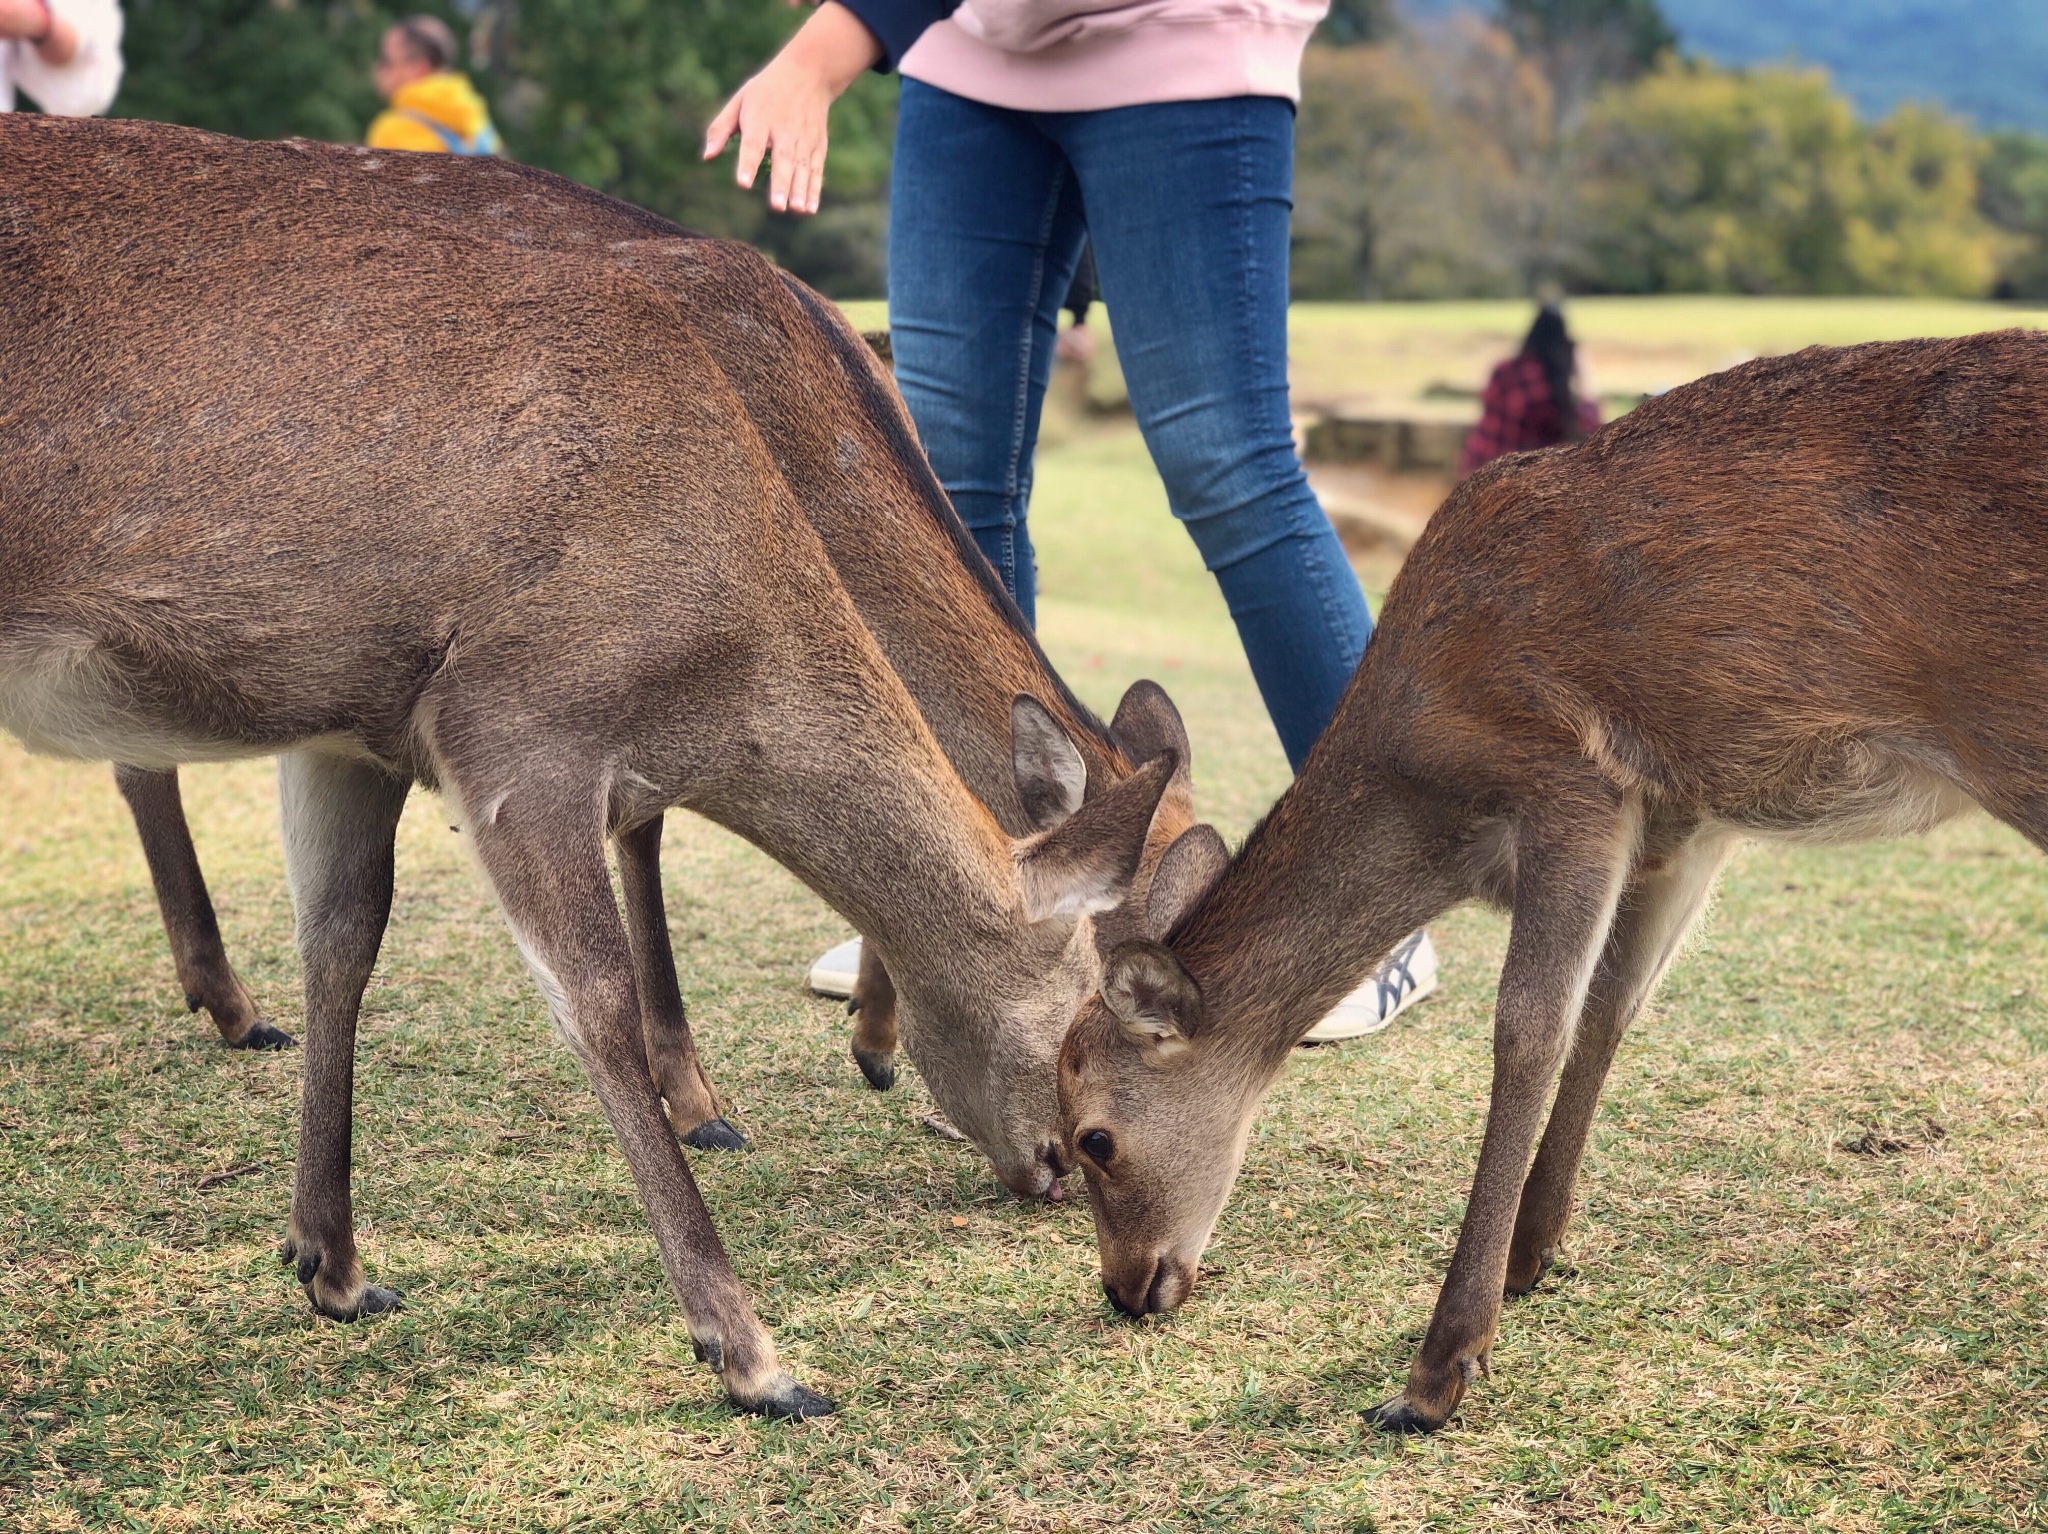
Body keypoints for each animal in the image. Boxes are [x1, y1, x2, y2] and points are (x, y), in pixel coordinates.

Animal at [4, 116, 1187, 1409]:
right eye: (1093, 1018)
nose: (1061, 1170)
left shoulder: (352, 724)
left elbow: (342, 940)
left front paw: (330, 1258)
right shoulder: (516, 726)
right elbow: (594, 994)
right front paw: (749, 1343)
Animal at [1056, 325, 2048, 1433]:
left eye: (1092, 1137)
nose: (1125, 1287)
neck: (1431, 794)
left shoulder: (1571, 783)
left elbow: (1528, 1027)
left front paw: (1438, 1367)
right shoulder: (1682, 820)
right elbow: (1614, 1006)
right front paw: (1533, 1253)